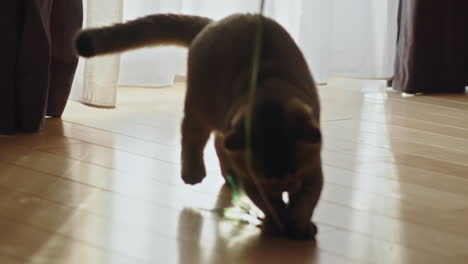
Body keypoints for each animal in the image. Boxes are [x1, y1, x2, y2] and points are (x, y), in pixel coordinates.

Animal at [75, 12, 324, 239]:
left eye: (294, 170)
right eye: (265, 179)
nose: (286, 187)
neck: (269, 88)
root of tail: (214, 22)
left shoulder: (313, 172)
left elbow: (306, 202)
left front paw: (298, 224)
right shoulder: (254, 181)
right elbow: (272, 205)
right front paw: (281, 222)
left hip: (220, 118)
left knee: (219, 143)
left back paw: (229, 175)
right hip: (199, 107)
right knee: (193, 138)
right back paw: (194, 173)